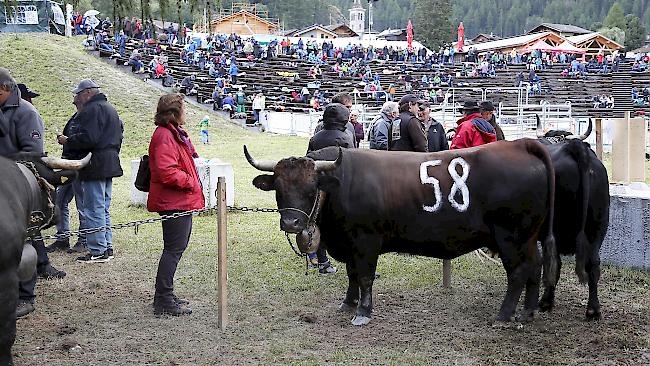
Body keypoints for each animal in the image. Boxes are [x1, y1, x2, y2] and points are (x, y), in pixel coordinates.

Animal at [246, 141, 556, 326]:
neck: (341, 183)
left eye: (312, 187)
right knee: (535, 267)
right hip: (528, 238)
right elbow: (352, 275)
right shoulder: (349, 244)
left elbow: (365, 277)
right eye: (279, 188)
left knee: (518, 273)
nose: (291, 223)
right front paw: (347, 303)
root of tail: (521, 144)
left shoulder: (365, 242)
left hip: (511, 238)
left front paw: (363, 312)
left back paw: (504, 316)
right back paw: (528, 312)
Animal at [536, 118, 604, 318]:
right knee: (593, 264)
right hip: (597, 229)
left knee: (554, 263)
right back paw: (593, 309)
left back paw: (546, 301)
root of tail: (576, 148)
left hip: (554, 230)